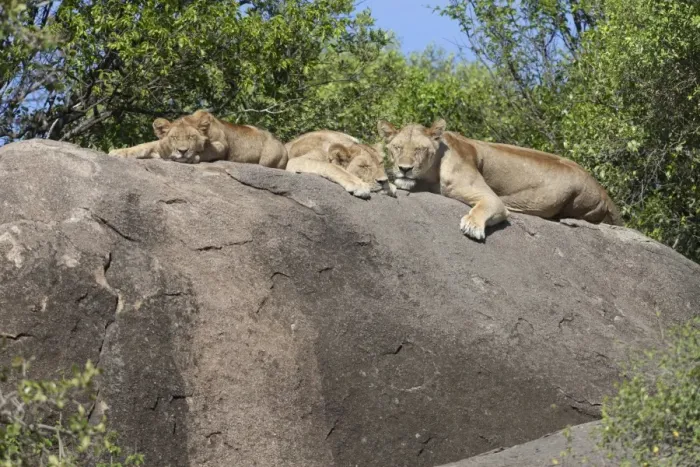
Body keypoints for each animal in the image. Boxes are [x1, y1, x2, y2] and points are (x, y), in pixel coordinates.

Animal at [108, 110, 287, 168]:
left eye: (191, 137)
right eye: (174, 137)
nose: (182, 151)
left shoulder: (221, 146)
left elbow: (207, 150)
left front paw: (191, 157)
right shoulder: (160, 147)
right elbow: (143, 146)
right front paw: (117, 152)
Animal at [377, 119, 622, 241]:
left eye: (419, 150)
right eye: (397, 148)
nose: (405, 169)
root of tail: (605, 194)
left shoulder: (491, 198)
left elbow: (484, 207)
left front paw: (472, 226)